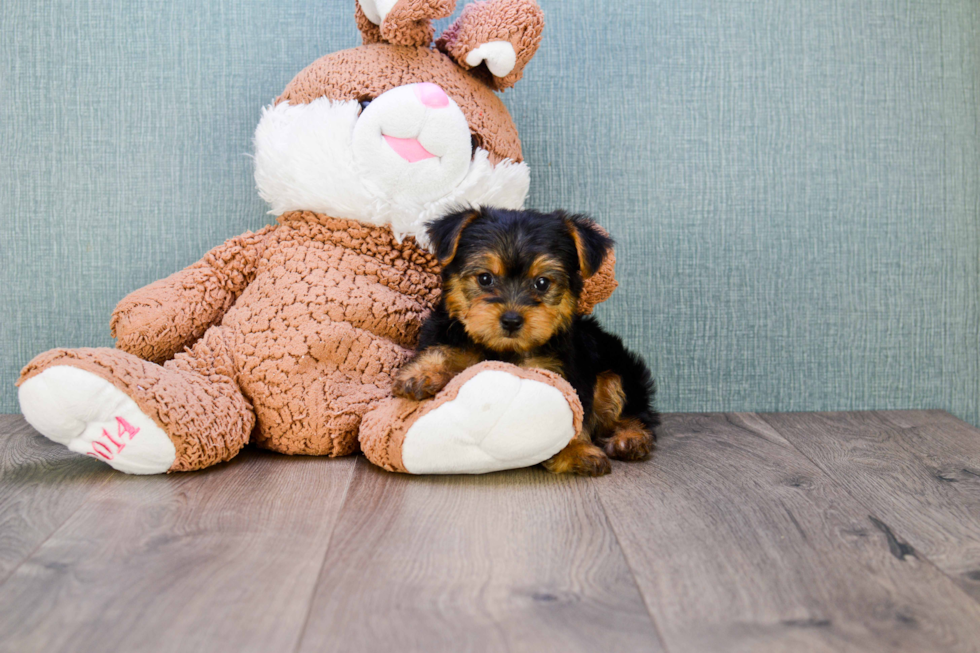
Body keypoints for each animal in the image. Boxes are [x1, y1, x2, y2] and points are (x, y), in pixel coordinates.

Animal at [392, 205, 660, 474]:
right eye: (485, 279)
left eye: (542, 283)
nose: (511, 320)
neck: (503, 349)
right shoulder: (448, 332)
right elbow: (442, 348)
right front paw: (421, 373)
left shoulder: (563, 371)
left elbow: (574, 411)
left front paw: (576, 450)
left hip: (619, 372)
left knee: (632, 409)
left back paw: (631, 439)